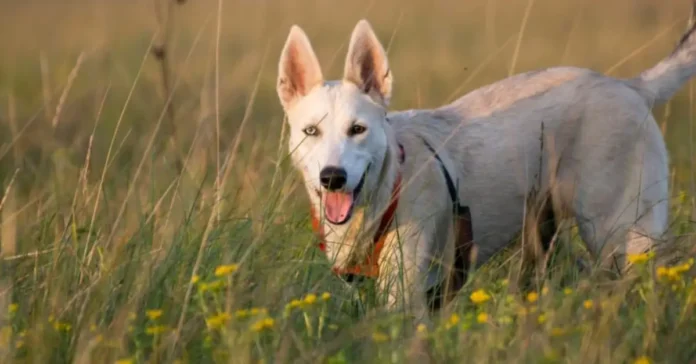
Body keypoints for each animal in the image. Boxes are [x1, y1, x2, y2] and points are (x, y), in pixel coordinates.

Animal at [274, 2, 692, 322]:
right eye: (311, 131)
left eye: (357, 129)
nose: (332, 177)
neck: (388, 190)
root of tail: (630, 86)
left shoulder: (404, 296)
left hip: (624, 234)